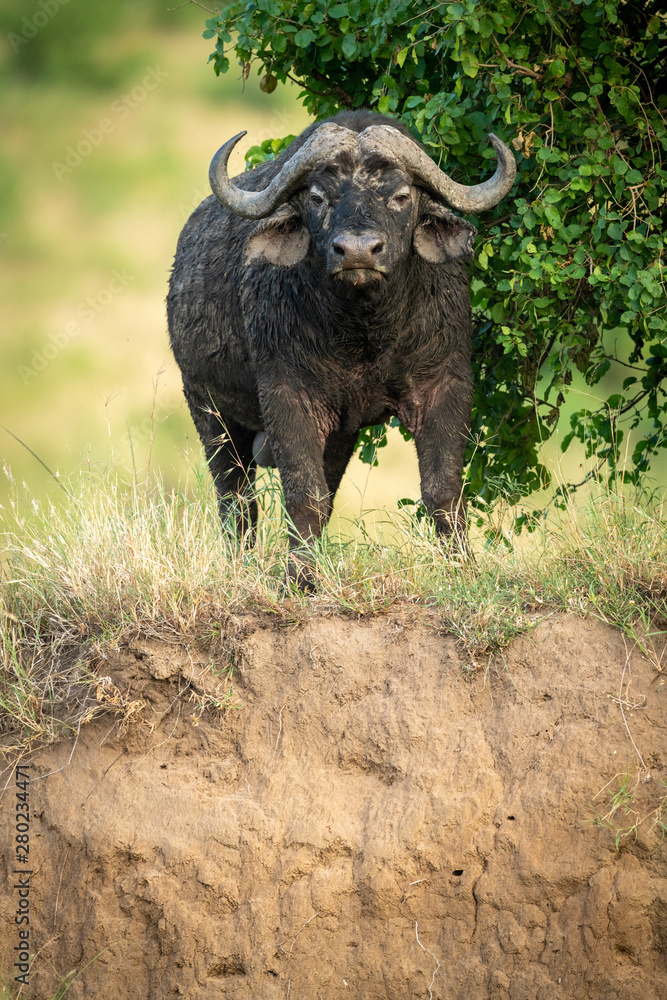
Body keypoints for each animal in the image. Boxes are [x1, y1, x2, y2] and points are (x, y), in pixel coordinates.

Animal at [167, 110, 515, 587]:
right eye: (317, 197)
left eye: (401, 195)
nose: (357, 252)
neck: (364, 333)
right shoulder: (287, 395)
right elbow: (304, 495)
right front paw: (299, 578)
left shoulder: (444, 384)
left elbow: (442, 489)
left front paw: (463, 567)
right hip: (208, 410)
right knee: (236, 500)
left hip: (338, 434)